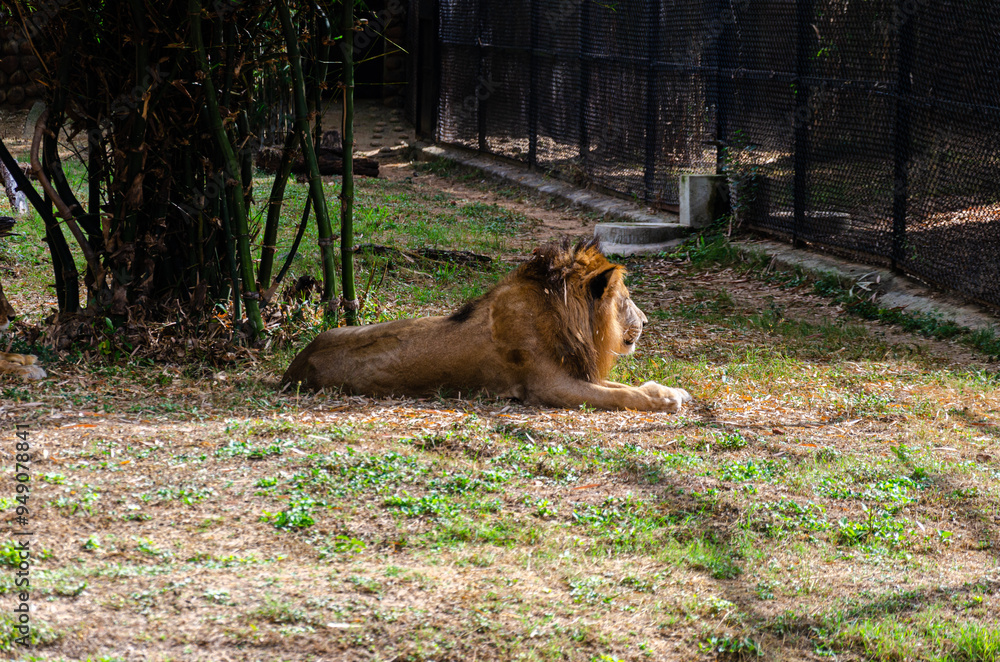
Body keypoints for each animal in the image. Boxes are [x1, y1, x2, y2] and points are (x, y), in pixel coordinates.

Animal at [281, 239, 691, 411]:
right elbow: (622, 395)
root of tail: (292, 368)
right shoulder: (549, 387)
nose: (646, 320)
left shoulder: (576, 372)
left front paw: (670, 390)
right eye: (625, 300)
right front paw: (665, 400)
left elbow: (624, 386)